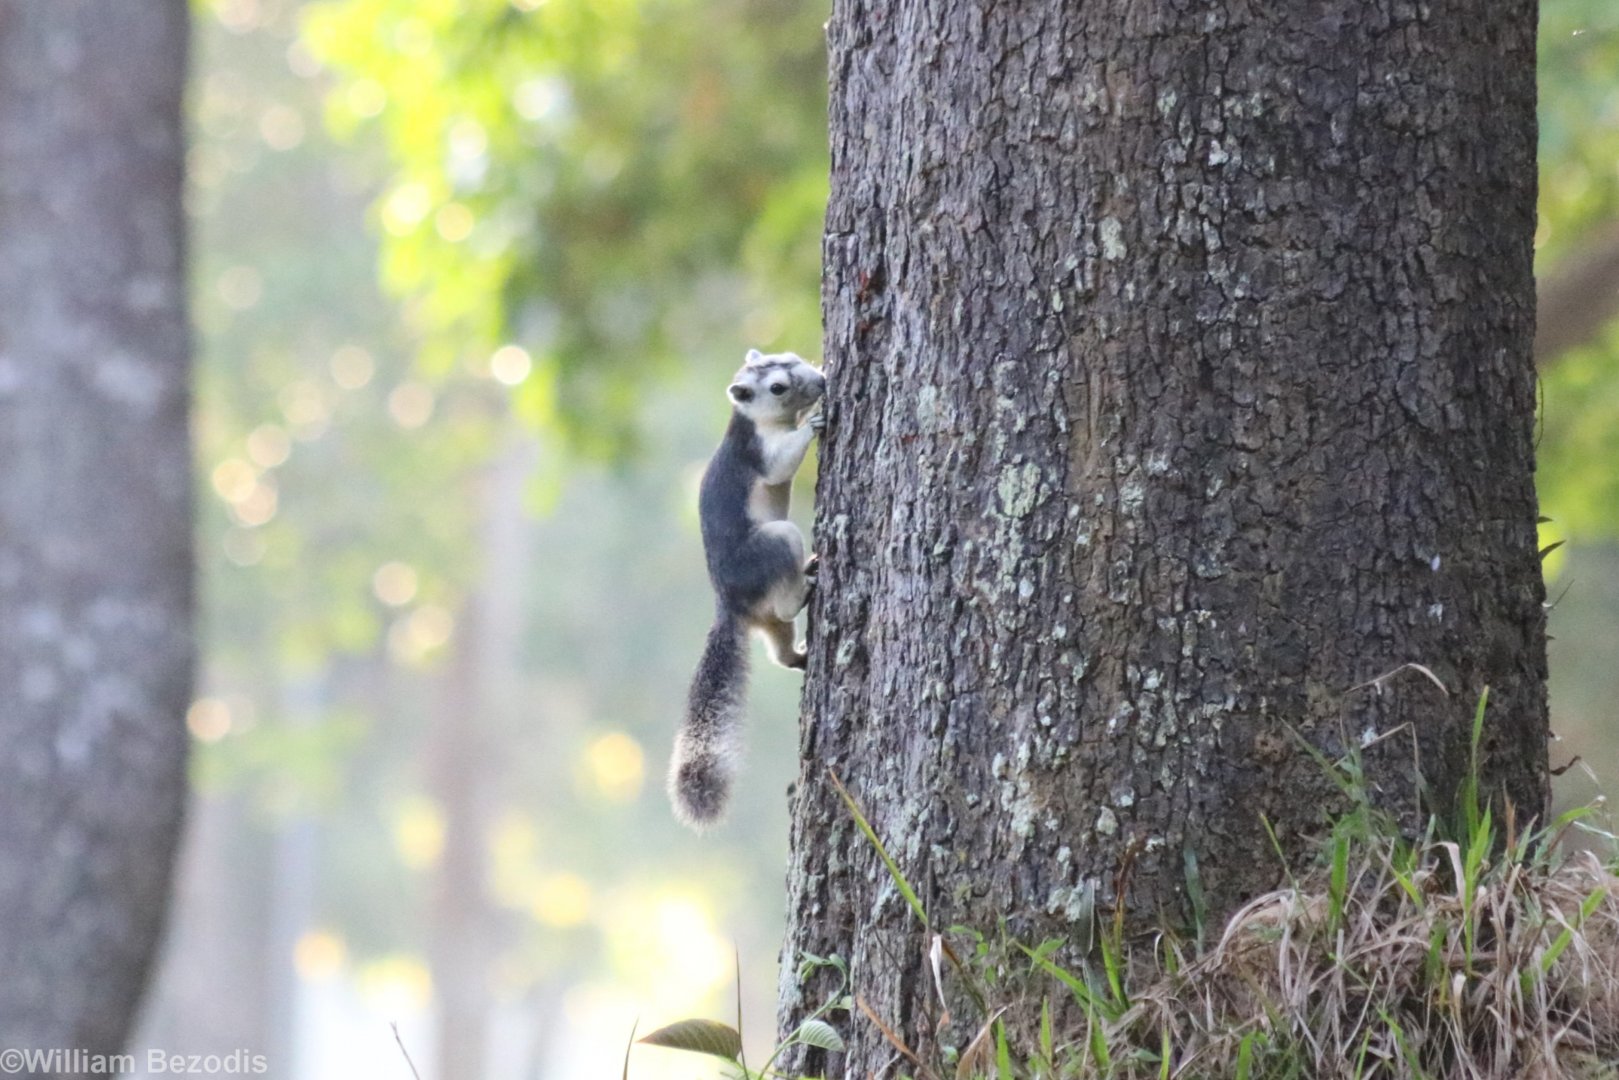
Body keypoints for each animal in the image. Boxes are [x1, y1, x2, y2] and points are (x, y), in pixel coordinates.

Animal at [668, 349, 827, 829]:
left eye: (791, 357)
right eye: (777, 387)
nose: (820, 382)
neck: (750, 419)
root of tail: (731, 605)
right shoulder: (759, 451)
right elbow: (782, 462)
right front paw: (813, 422)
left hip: (769, 618)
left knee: (780, 647)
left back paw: (800, 654)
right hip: (775, 544)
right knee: (788, 593)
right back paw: (808, 581)